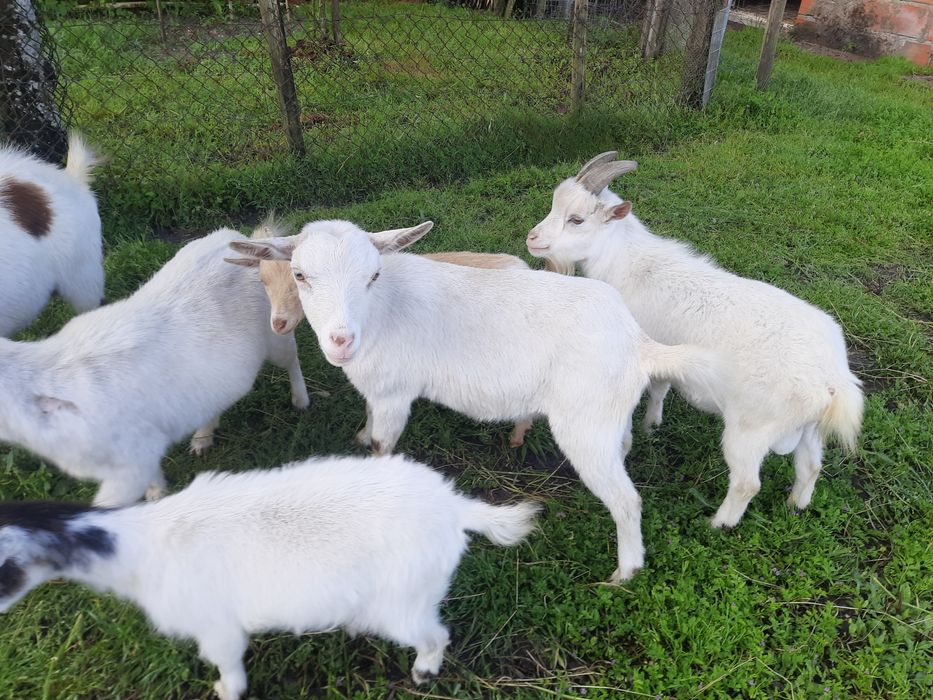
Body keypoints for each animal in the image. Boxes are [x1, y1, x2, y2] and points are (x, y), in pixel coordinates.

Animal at [0, 227, 309, 507]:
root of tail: (237, 237)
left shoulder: (129, 462)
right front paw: (157, 493)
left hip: (275, 331)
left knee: (291, 358)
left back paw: (300, 400)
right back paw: (202, 438)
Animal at [0, 454, 539, 698]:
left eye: (3, 568)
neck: (141, 545)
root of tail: (454, 508)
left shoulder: (214, 625)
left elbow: (227, 665)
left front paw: (226, 691)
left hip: (403, 599)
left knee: (433, 634)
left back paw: (424, 670)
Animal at [228, 219, 720, 581]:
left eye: (373, 275)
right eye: (300, 274)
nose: (341, 341)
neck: (383, 311)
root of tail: (639, 343)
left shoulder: (395, 393)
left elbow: (383, 447)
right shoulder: (377, 388)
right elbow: (368, 420)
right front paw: (360, 433)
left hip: (584, 424)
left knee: (626, 500)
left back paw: (624, 573)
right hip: (607, 415)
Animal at [527, 152, 864, 528]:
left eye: (577, 219)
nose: (532, 238)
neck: (630, 265)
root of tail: (831, 377)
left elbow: (657, 388)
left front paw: (649, 424)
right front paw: (653, 425)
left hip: (750, 430)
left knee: (746, 482)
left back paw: (718, 524)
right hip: (810, 430)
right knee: (810, 465)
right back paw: (796, 505)